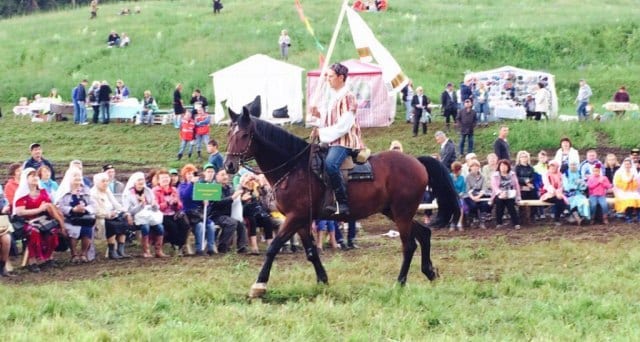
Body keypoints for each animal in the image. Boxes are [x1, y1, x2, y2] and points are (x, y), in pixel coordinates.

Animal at [222, 108, 458, 298]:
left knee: (409, 246)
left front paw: (259, 285)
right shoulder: (301, 220)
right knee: (424, 234)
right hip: (396, 212)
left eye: (244, 135)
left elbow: (273, 247)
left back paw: (400, 283)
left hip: (402, 213)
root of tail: (417, 161)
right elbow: (311, 252)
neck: (294, 168)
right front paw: (322, 281)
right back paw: (429, 272)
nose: (229, 165)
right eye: (229, 134)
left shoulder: (295, 217)